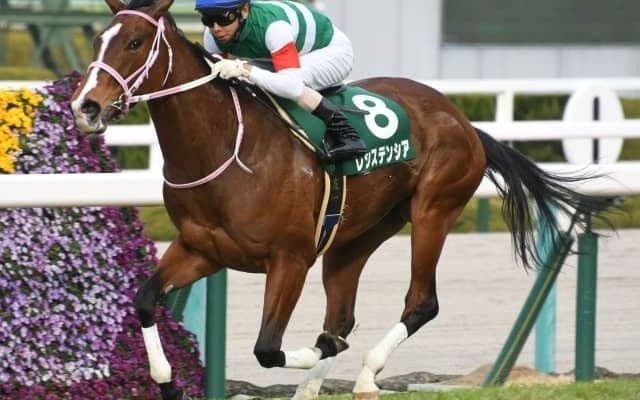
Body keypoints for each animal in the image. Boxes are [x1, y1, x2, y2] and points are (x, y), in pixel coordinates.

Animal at [70, 0, 613, 399]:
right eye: (98, 40)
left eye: (135, 42)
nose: (86, 106)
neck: (226, 149)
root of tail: (462, 120)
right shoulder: (203, 249)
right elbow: (145, 300)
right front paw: (167, 382)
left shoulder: (289, 258)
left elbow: (269, 348)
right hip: (355, 236)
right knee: (343, 313)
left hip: (433, 211)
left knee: (420, 303)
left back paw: (367, 375)